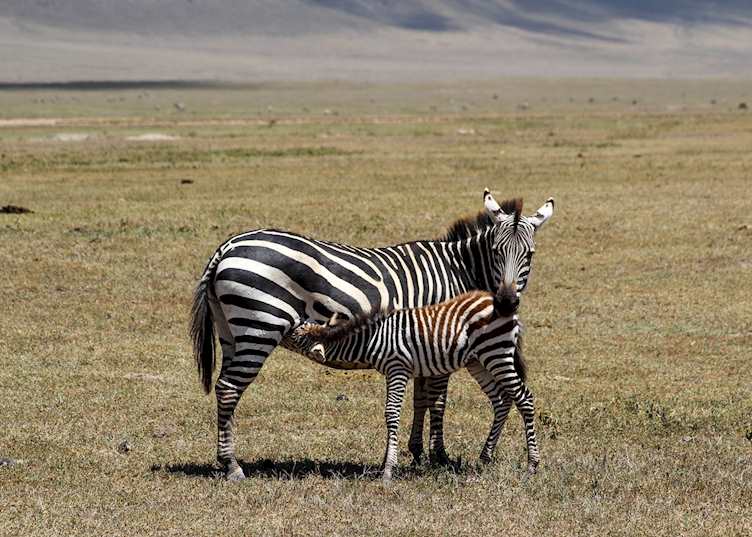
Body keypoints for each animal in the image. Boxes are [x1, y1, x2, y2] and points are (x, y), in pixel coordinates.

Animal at [288, 289, 536, 482]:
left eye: (296, 334)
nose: (290, 319)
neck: (372, 339)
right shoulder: (393, 371)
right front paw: (387, 463)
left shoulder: (397, 368)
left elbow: (391, 413)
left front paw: (388, 470)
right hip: (478, 361)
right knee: (501, 401)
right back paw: (485, 458)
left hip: (496, 353)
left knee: (525, 398)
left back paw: (532, 465)